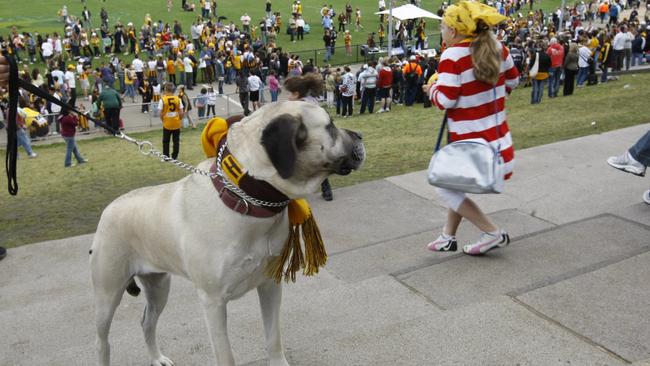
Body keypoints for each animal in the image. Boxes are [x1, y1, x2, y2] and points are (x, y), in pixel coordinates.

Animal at [88, 101, 364, 366]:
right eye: (330, 126)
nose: (360, 136)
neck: (248, 199)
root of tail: (107, 210)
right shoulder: (213, 301)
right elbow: (226, 356)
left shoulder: (270, 284)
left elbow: (273, 338)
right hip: (107, 295)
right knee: (101, 342)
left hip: (158, 286)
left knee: (147, 322)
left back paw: (157, 358)